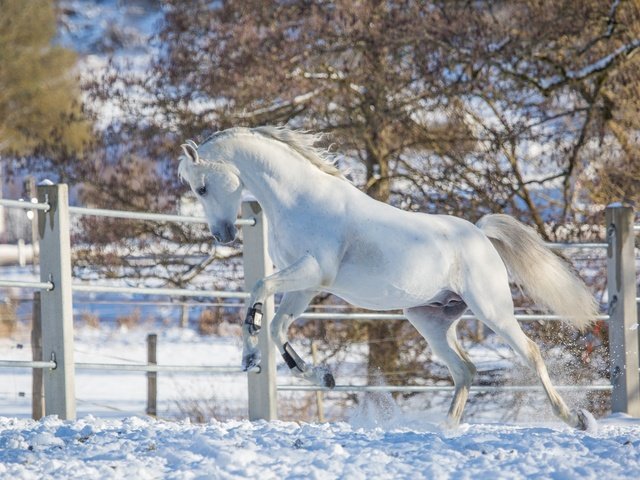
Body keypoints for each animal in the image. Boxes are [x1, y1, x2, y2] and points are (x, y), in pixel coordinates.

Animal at [178, 125, 596, 430]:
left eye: (202, 187)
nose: (223, 236)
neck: (299, 199)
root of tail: (479, 235)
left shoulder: (312, 272)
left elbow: (258, 290)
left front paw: (254, 358)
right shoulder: (305, 286)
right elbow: (277, 325)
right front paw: (318, 376)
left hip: (492, 311)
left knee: (531, 353)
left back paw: (576, 419)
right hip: (430, 319)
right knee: (465, 371)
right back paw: (445, 430)